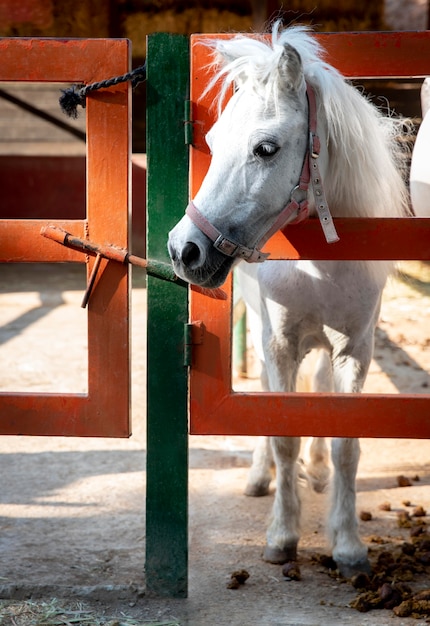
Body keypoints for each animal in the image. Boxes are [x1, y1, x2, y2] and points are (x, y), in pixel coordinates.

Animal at [168, 24, 410, 572]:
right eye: (211, 141)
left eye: (265, 148)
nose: (183, 249)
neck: (318, 267)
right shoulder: (279, 342)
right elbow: (282, 432)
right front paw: (282, 536)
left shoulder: (354, 349)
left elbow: (345, 443)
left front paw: (347, 544)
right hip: (261, 333)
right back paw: (260, 478)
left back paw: (316, 472)